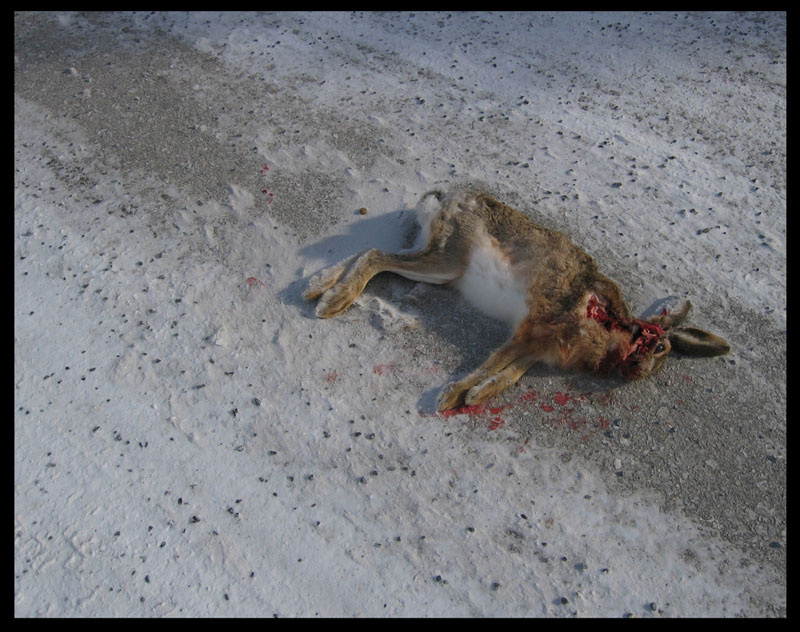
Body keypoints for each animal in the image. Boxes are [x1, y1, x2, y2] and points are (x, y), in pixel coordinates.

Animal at [304, 189, 730, 411]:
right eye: (659, 347)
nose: (636, 372)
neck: (611, 325)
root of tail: (450, 197)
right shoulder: (535, 328)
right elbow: (493, 362)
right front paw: (449, 397)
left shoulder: (538, 347)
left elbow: (510, 374)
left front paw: (477, 394)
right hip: (450, 261)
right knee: (376, 256)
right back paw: (332, 301)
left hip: (438, 262)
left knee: (371, 252)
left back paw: (316, 285)